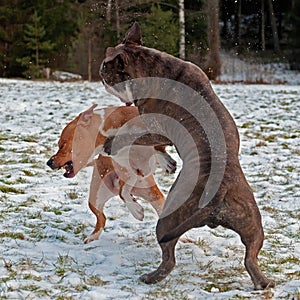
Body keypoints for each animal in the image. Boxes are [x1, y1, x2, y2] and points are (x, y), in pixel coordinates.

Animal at [47, 105, 176, 244]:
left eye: (62, 144)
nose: (49, 162)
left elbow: (158, 145)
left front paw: (165, 161)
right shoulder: (128, 168)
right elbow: (123, 192)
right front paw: (137, 211)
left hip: (153, 195)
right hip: (94, 199)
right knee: (103, 217)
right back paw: (93, 237)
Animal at [99, 22, 276, 290]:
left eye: (108, 68)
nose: (100, 70)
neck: (150, 66)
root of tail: (217, 196)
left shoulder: (154, 126)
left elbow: (133, 135)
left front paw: (111, 143)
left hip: (168, 219)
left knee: (168, 257)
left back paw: (151, 277)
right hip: (253, 226)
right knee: (250, 257)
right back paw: (263, 283)